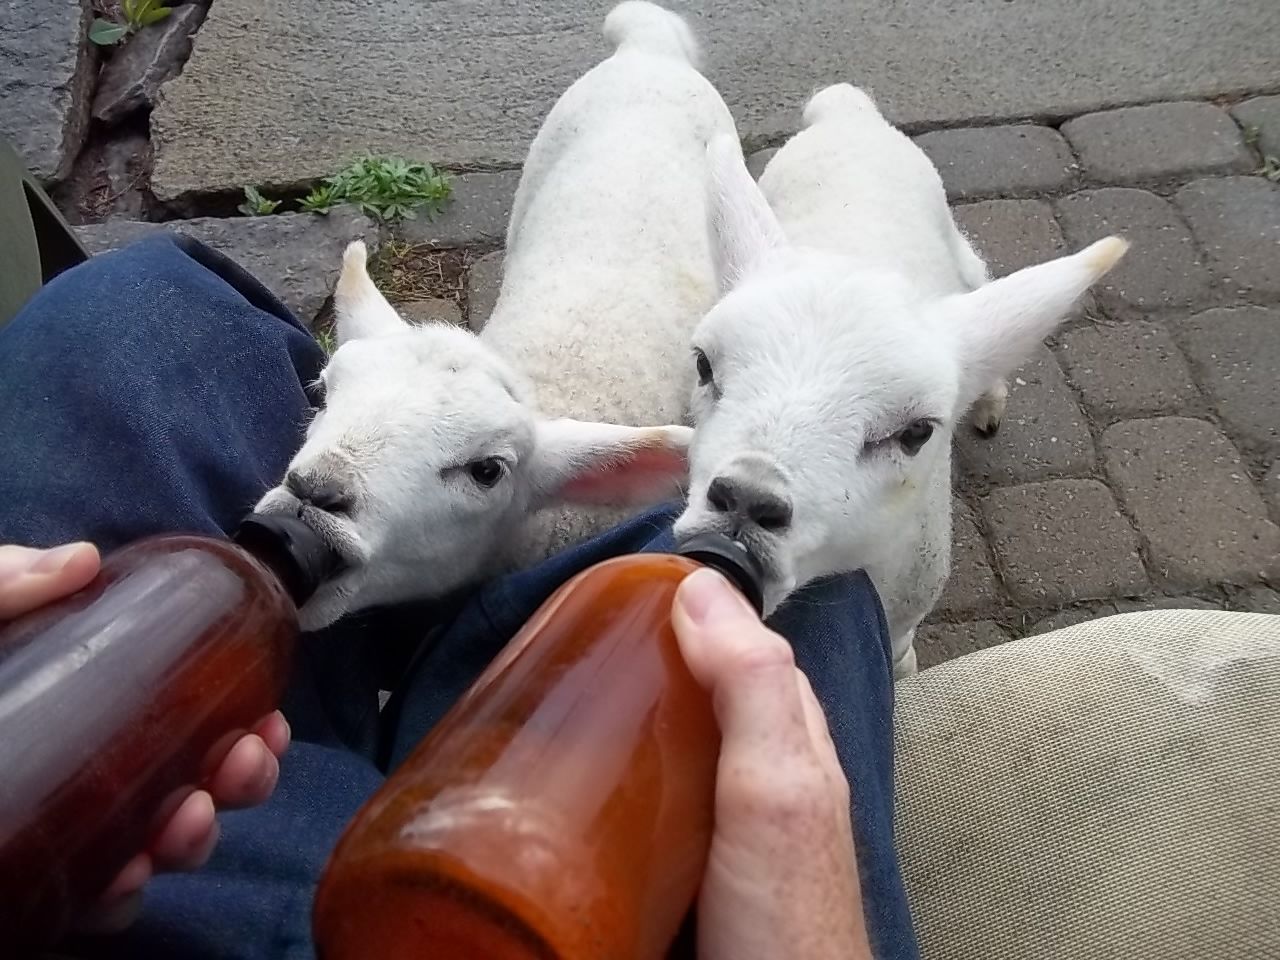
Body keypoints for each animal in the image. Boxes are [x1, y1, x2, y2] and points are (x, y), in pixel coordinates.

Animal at [672, 84, 1128, 676]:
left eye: (916, 433)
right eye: (704, 365)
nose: (748, 500)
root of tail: (848, 109)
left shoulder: (906, 612)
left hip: (963, 256)